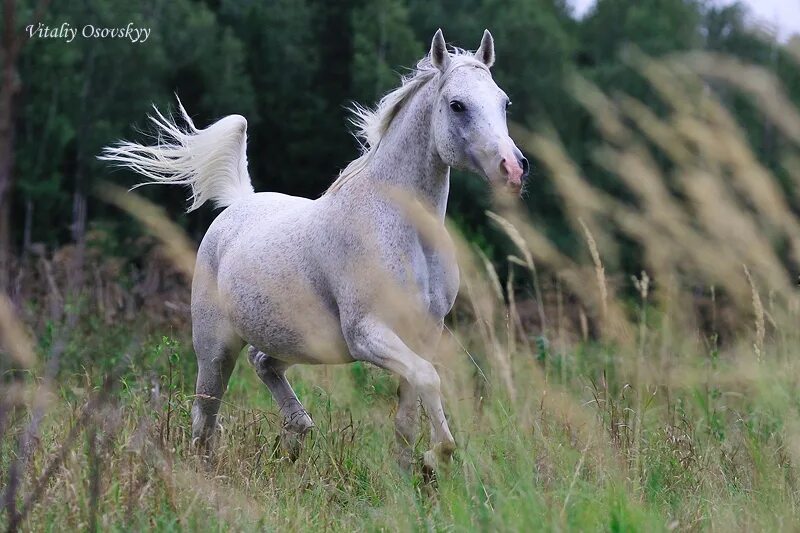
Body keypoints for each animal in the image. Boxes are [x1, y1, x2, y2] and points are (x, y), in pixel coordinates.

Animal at [103, 30, 528, 470]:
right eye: (457, 105)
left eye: (504, 102)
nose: (513, 169)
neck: (401, 229)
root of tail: (240, 202)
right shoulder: (366, 332)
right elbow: (428, 378)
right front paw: (437, 455)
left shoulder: (424, 333)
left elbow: (409, 412)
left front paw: (416, 468)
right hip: (214, 347)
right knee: (205, 417)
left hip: (293, 340)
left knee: (262, 364)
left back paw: (297, 432)